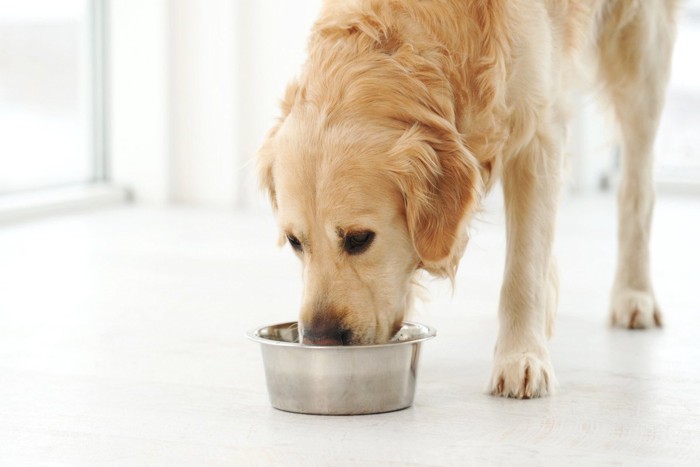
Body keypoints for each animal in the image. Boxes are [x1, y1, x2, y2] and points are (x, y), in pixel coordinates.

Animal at [258, 0, 680, 398]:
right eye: (295, 242)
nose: (319, 340)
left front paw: (521, 357)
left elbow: (523, 270)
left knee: (637, 188)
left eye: (360, 239)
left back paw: (634, 294)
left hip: (642, 53)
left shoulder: (537, 135)